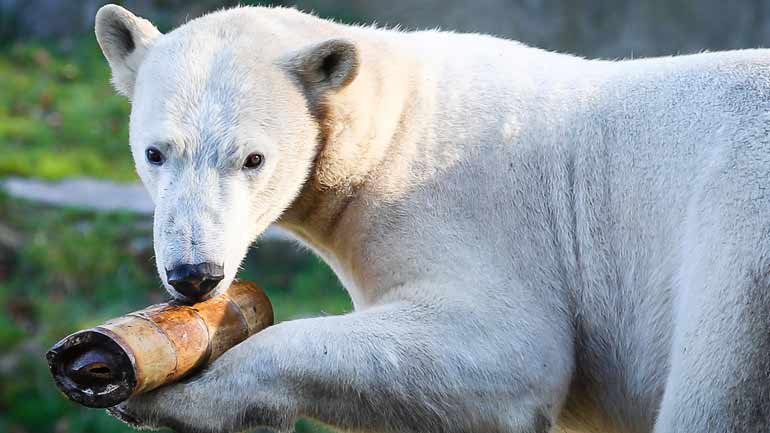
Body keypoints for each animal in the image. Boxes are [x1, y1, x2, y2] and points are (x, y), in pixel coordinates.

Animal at [94, 3, 768, 432]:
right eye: (155, 153)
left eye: (252, 158)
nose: (194, 274)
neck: (391, 125)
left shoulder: (471, 211)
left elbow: (508, 351)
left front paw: (182, 395)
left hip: (735, 235)